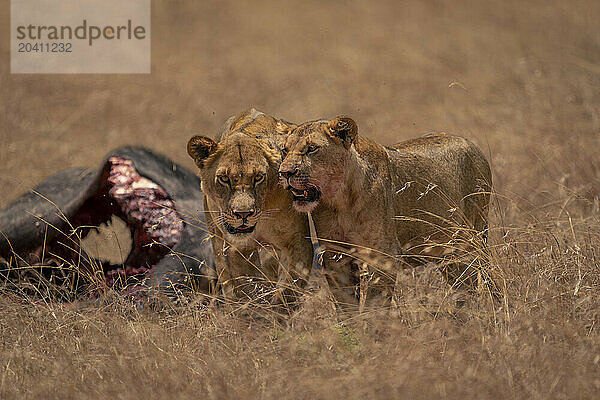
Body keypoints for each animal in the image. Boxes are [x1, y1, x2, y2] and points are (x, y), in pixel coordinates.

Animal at [188, 109, 314, 304]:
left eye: (258, 177)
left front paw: (276, 309)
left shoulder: (298, 240)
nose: (243, 214)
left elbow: (288, 291)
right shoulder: (237, 249)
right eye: (224, 178)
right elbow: (247, 290)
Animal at [278, 116, 494, 306]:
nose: (285, 172)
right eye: (284, 150)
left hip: (470, 240)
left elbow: (376, 302)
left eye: (312, 149)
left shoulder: (382, 254)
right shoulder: (335, 256)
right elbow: (345, 303)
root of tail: (471, 143)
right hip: (446, 252)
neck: (339, 202)